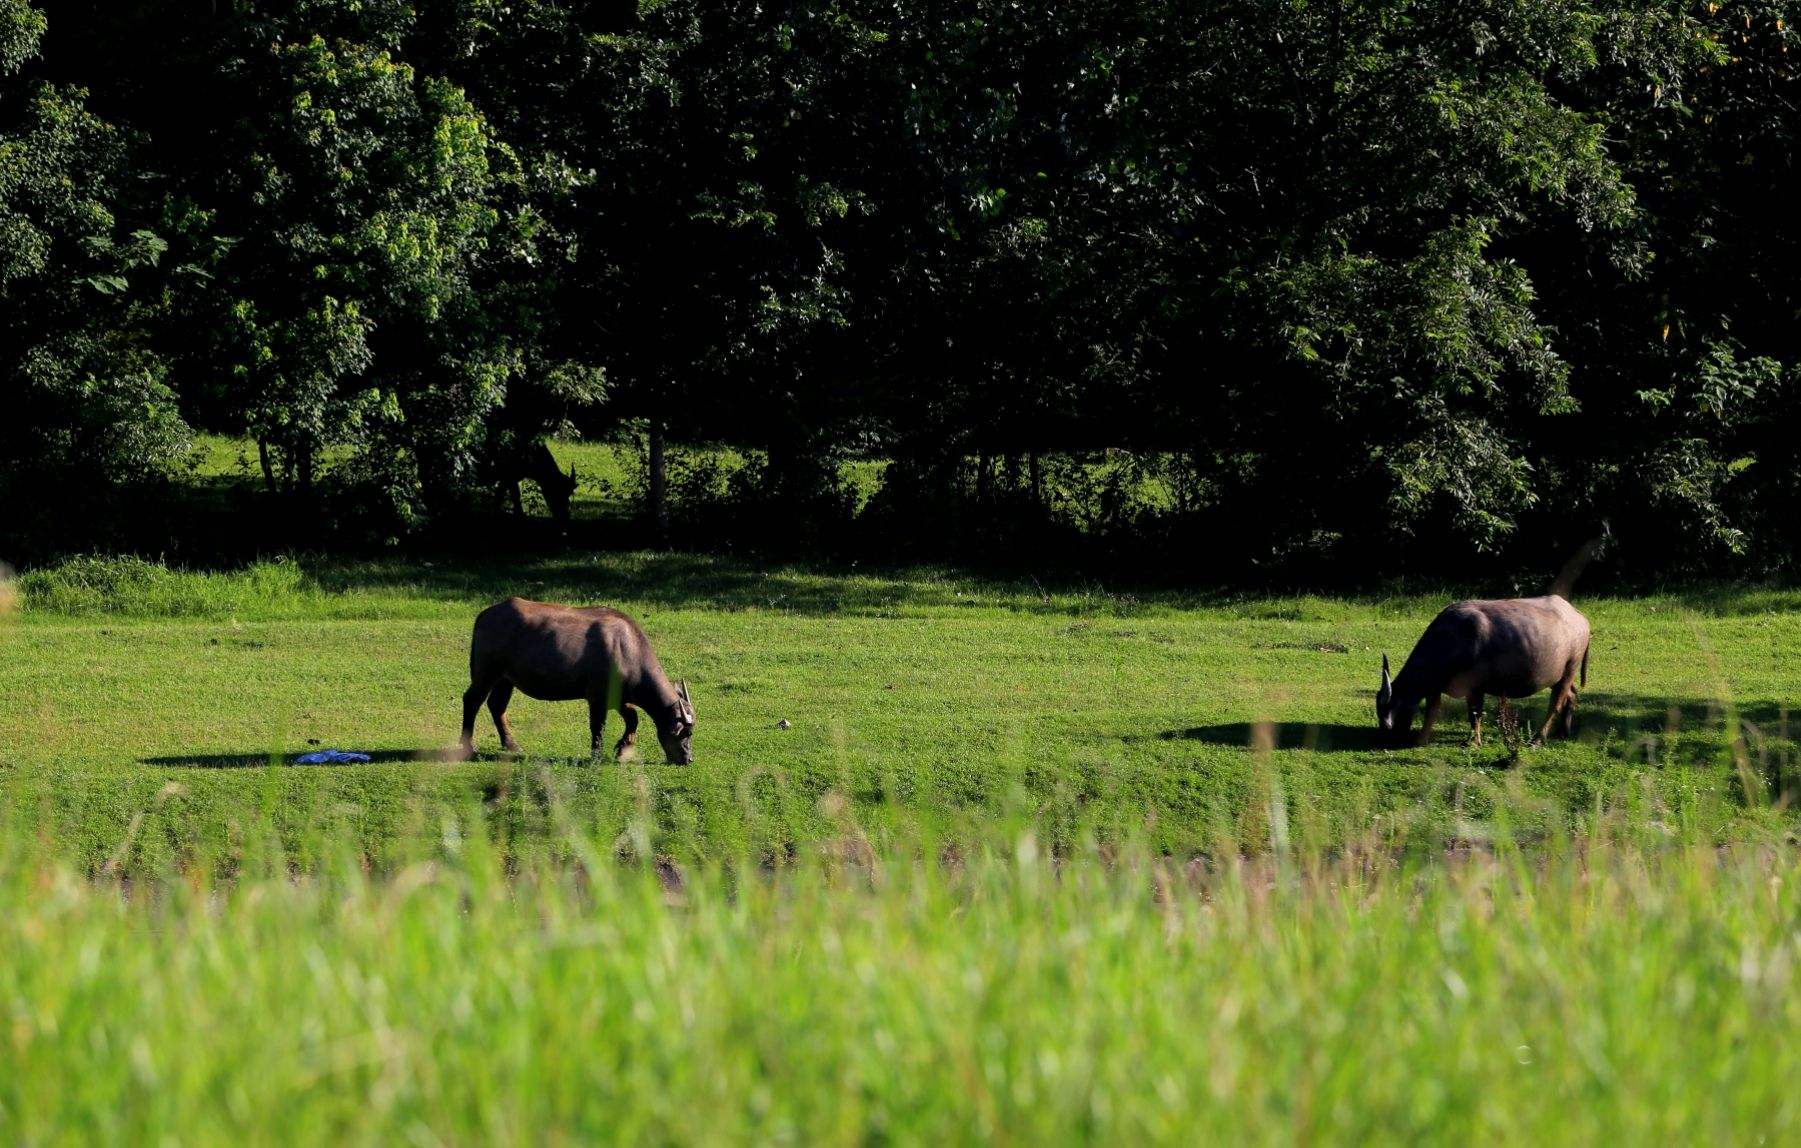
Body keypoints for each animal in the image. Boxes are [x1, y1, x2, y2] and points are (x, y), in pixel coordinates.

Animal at [457, 598, 695, 760]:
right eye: (685, 733)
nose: (688, 759)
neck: (626, 650)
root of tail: (486, 614)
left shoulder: (618, 697)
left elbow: (632, 717)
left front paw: (623, 746)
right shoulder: (597, 698)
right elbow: (598, 725)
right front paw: (597, 754)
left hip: (506, 679)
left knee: (497, 706)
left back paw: (510, 744)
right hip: (486, 673)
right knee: (472, 701)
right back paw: (468, 747)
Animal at [1375, 594, 1592, 746]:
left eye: (1388, 714)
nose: (1384, 739)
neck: (1452, 641)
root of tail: (1579, 617)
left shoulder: (1474, 688)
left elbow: (1474, 713)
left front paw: (1473, 742)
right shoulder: (1435, 687)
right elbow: (1431, 711)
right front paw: (1421, 739)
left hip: (1570, 668)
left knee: (1555, 703)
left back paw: (1538, 740)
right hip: (1561, 675)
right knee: (1571, 695)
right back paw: (1563, 732)